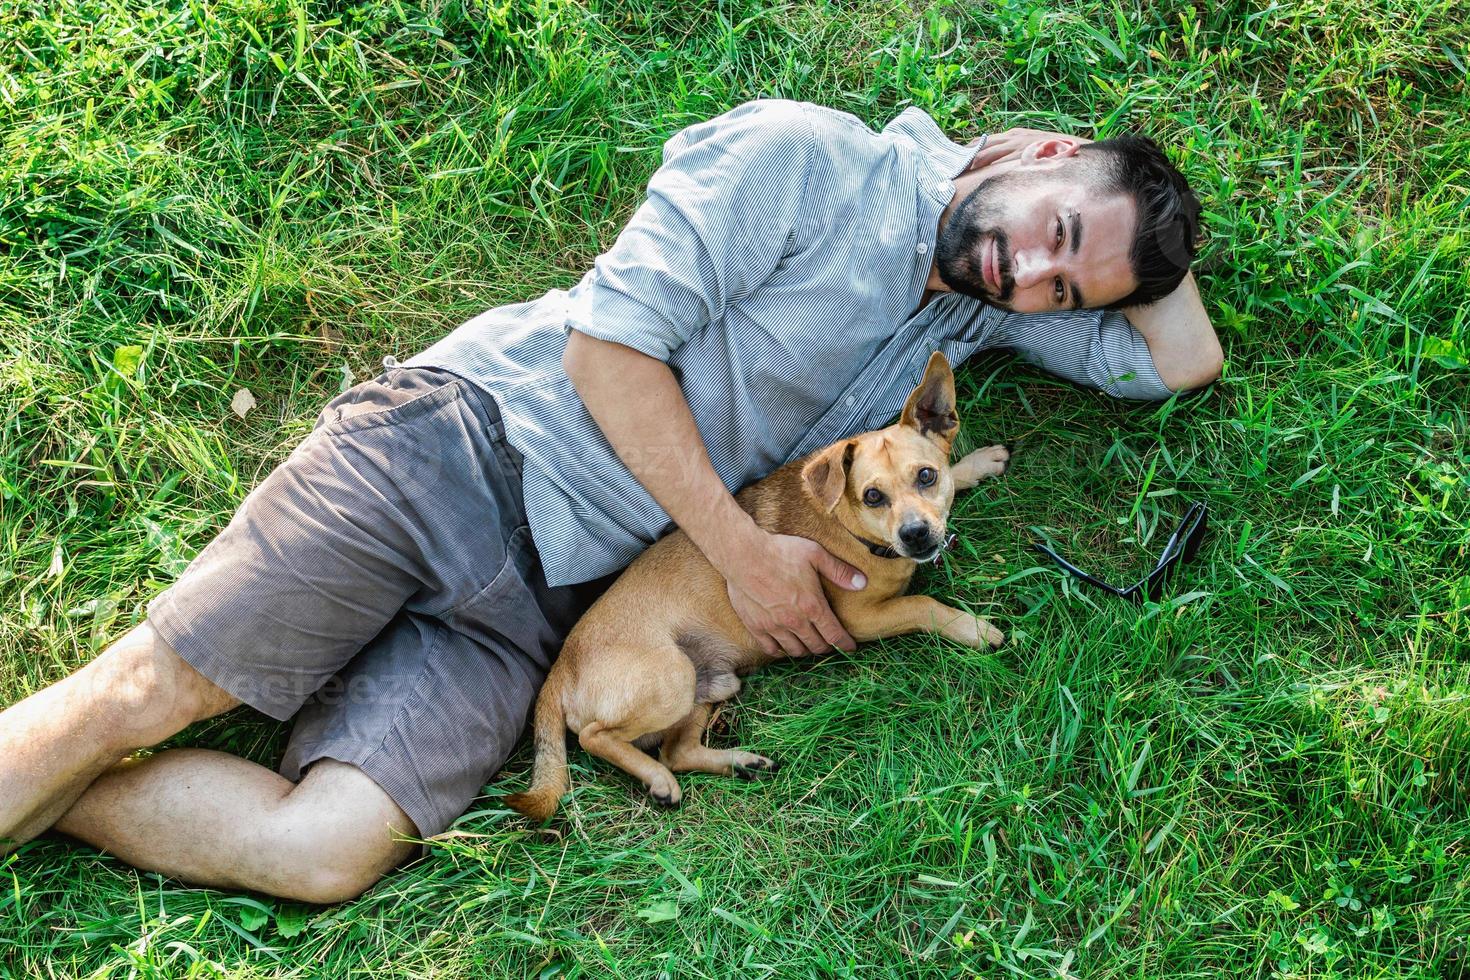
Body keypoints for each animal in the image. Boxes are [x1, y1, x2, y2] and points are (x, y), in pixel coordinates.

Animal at [508, 352, 1011, 822]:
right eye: (873, 496)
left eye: (927, 476)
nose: (917, 535)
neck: (852, 528)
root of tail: (559, 669)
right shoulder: (859, 620)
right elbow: (924, 602)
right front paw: (973, 628)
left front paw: (975, 464)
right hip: (671, 680)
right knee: (598, 737)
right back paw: (658, 779)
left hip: (711, 685)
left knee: (676, 750)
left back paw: (738, 763)